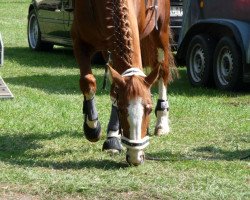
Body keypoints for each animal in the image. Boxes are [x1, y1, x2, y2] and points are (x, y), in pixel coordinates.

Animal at [71, 0, 176, 166]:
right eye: (121, 109)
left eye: (148, 109)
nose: (136, 157)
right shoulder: (79, 40)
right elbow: (88, 81)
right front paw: (92, 128)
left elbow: (114, 91)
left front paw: (113, 137)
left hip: (161, 30)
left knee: (163, 70)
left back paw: (162, 121)